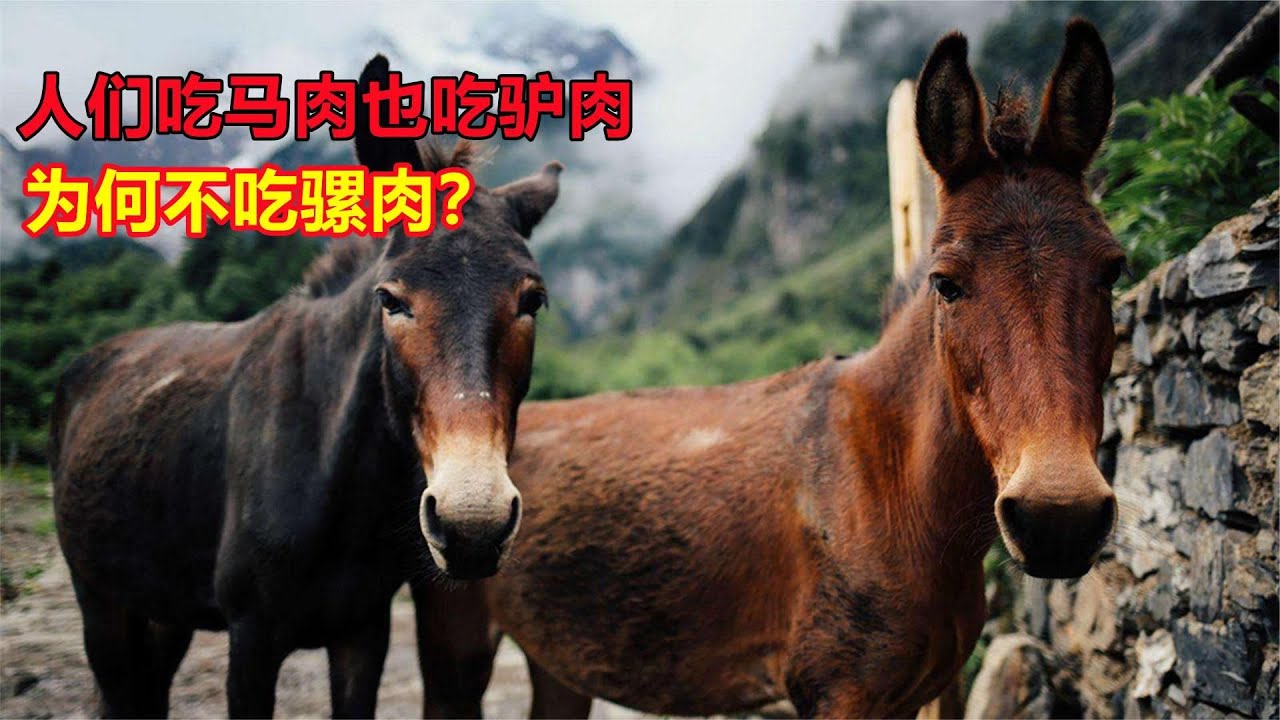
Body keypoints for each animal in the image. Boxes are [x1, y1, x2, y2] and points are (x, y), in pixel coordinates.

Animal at [49, 55, 562, 718]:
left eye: (533, 300)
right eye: (389, 299)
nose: (472, 524)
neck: (333, 469)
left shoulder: (362, 630)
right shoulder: (251, 637)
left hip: (162, 603)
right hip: (100, 600)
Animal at [414, 19, 1124, 719]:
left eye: (1112, 271)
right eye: (945, 284)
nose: (1059, 520)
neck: (896, 477)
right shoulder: (837, 693)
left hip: (561, 661)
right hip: (456, 649)